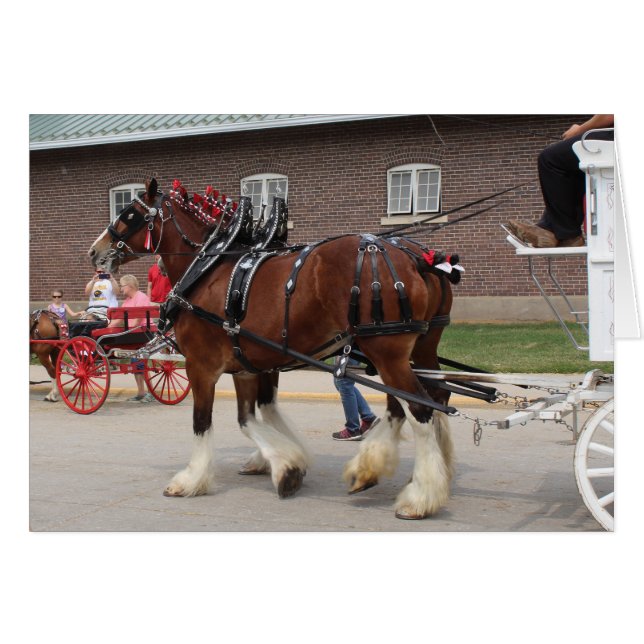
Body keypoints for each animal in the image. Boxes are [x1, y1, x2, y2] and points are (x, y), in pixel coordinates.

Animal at [88, 178, 456, 519]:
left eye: (129, 213)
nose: (94, 251)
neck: (209, 266)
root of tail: (417, 259)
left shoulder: (201, 365)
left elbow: (209, 421)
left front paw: (193, 479)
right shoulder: (251, 364)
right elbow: (257, 413)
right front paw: (283, 462)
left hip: (387, 352)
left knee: (418, 409)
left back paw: (419, 496)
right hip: (417, 348)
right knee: (428, 399)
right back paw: (402, 471)